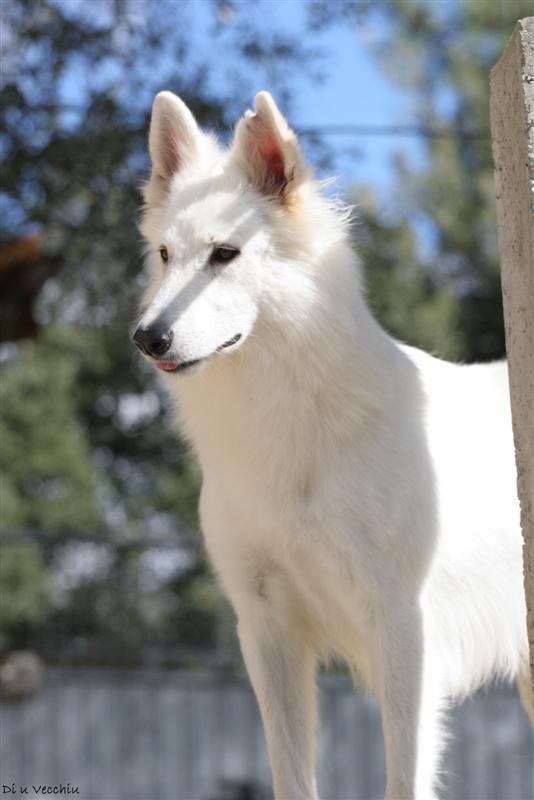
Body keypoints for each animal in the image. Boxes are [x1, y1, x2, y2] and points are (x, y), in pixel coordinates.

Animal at [133, 90, 532, 799]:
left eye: (224, 255)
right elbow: (292, 776)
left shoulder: (403, 632)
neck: (293, 429)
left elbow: (403, 778)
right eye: (164, 255)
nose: (147, 338)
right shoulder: (267, 632)